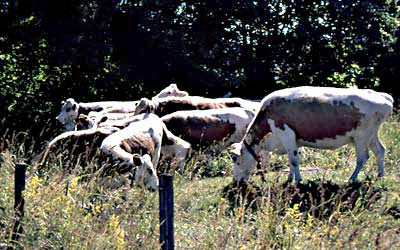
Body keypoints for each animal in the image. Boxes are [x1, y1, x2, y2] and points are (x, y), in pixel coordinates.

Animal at [230, 86, 392, 184]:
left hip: (362, 137)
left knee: (363, 158)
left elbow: (294, 160)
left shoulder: (285, 133)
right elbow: (292, 160)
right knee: (380, 150)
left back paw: (351, 179)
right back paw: (380, 176)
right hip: (371, 136)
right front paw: (289, 179)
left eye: (237, 160)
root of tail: (381, 95)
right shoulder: (294, 140)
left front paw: (298, 181)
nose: (236, 181)